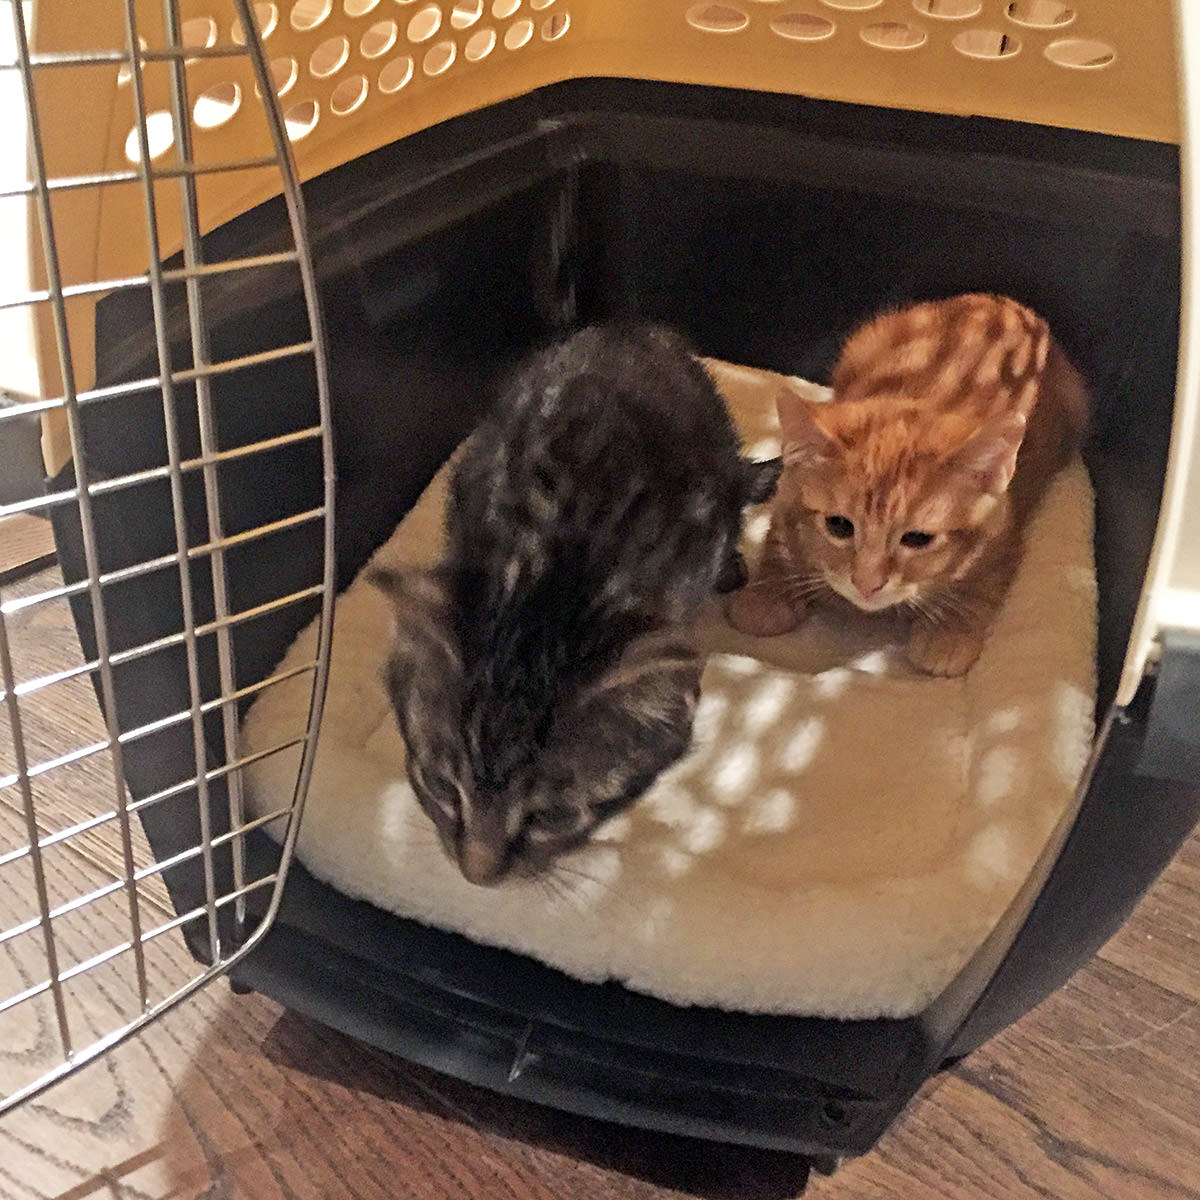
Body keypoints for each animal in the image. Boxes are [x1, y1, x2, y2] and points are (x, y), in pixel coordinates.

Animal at [724, 291, 1094, 676]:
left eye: (917, 539)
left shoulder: (1006, 528)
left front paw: (950, 631)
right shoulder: (786, 492)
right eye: (838, 525)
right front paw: (767, 594)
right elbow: (780, 533)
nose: (866, 584)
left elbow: (986, 577)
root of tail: (1001, 300)